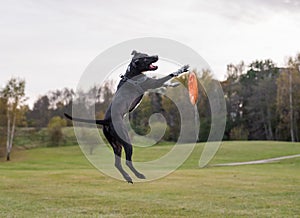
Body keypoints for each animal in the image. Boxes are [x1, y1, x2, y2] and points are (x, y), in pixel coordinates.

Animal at [65, 50, 189, 182]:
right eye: (145, 58)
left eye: (147, 54)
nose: (156, 56)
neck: (132, 73)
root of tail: (106, 120)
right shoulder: (152, 82)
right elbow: (169, 75)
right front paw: (182, 69)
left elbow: (165, 83)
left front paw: (173, 84)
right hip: (126, 142)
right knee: (127, 162)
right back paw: (138, 175)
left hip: (116, 145)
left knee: (117, 163)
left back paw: (128, 177)